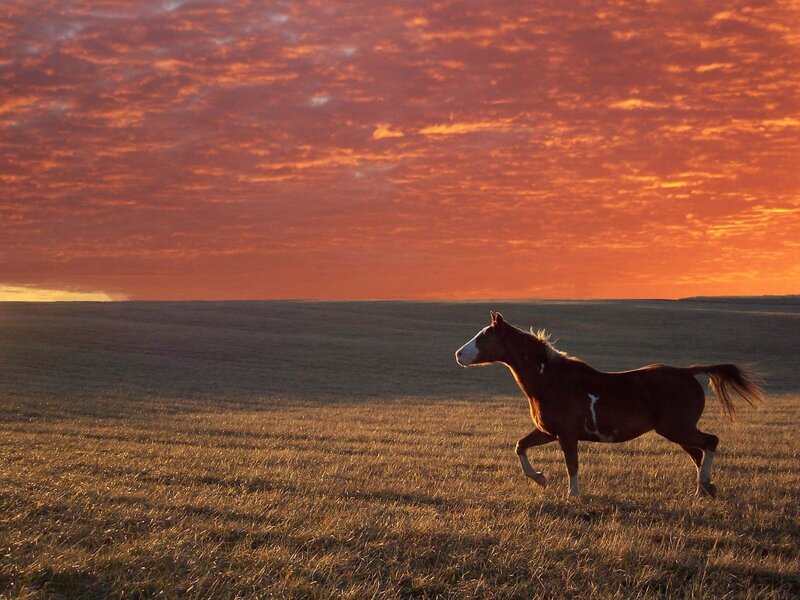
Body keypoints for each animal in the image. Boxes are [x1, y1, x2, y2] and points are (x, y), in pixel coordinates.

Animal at [454, 311, 763, 498]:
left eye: (484, 336)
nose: (458, 354)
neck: (550, 380)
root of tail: (688, 372)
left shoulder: (566, 435)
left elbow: (572, 464)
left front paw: (572, 496)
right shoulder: (548, 432)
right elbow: (520, 446)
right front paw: (540, 478)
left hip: (677, 428)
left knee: (710, 442)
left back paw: (706, 484)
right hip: (676, 431)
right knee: (698, 454)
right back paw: (702, 489)